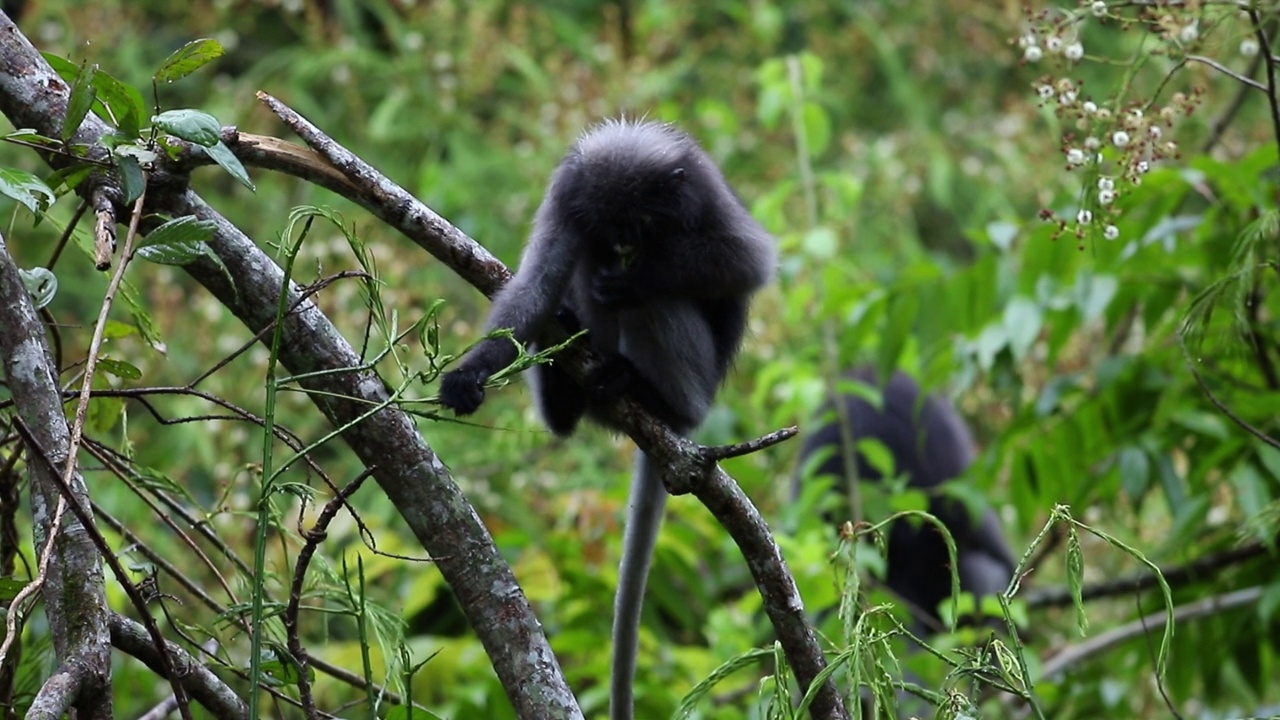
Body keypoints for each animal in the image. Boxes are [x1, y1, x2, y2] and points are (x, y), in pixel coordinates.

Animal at [440, 117, 778, 717]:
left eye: (641, 222)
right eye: (609, 223)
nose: (625, 246)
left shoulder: (703, 195)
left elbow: (748, 261)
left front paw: (637, 276)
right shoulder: (570, 199)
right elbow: (533, 287)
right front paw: (472, 371)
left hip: (696, 385)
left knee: (654, 303)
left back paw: (642, 383)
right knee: (565, 302)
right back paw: (563, 386)